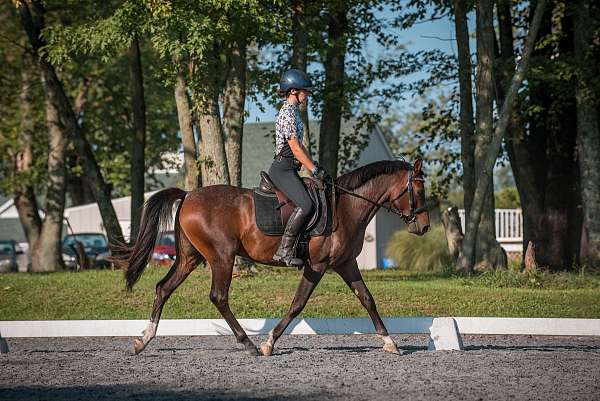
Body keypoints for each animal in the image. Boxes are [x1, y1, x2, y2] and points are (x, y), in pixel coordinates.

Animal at [115, 158, 428, 354]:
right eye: (419, 189)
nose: (424, 227)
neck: (347, 207)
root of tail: (189, 195)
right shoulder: (317, 266)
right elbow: (297, 304)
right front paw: (269, 343)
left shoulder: (346, 264)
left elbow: (367, 299)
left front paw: (390, 343)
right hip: (222, 257)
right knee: (219, 296)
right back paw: (248, 344)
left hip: (189, 258)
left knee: (163, 288)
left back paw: (143, 341)